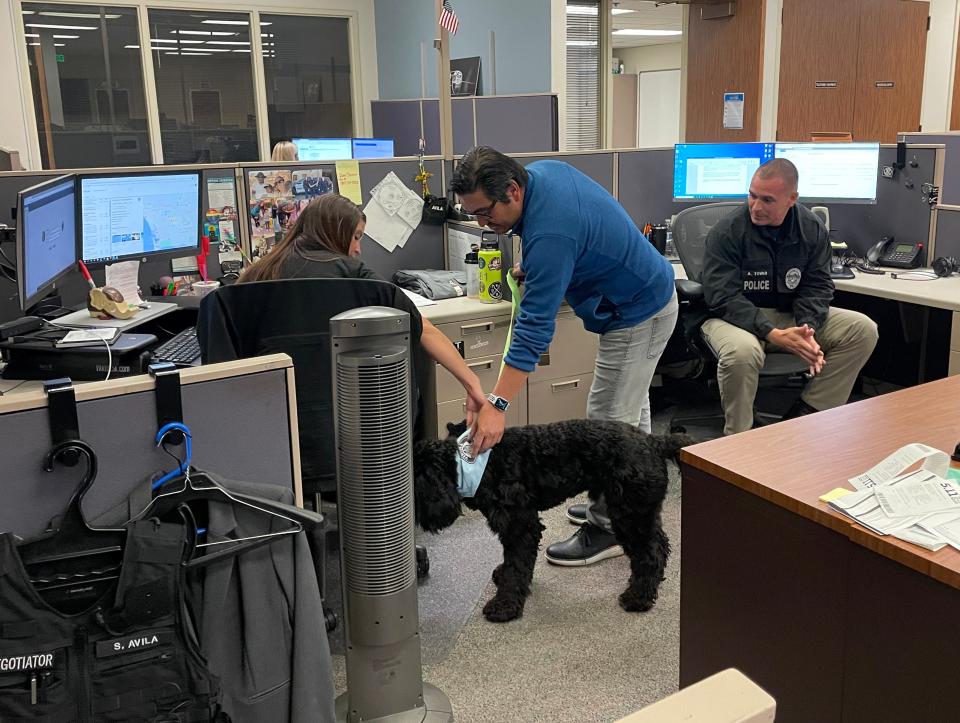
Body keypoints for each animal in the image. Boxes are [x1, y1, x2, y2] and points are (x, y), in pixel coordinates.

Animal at [412, 422, 688, 624]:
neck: (474, 466)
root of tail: (654, 441)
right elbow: (515, 562)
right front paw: (504, 576)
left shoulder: (520, 525)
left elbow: (516, 565)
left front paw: (505, 605)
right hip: (638, 513)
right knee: (660, 545)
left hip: (630, 515)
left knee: (651, 553)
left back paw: (638, 597)